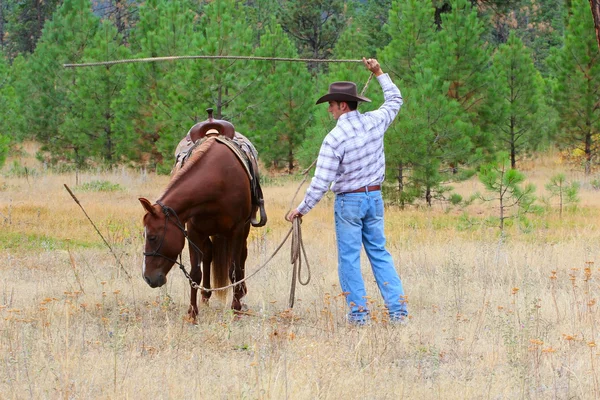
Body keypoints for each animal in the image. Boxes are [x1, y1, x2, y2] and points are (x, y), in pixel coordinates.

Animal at [139, 136, 252, 318]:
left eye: (152, 237)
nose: (147, 278)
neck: (217, 179)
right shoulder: (194, 232)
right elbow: (195, 273)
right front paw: (192, 312)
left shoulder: (237, 230)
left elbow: (234, 270)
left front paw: (236, 308)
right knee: (208, 254)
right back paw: (205, 295)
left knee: (242, 256)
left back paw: (241, 292)